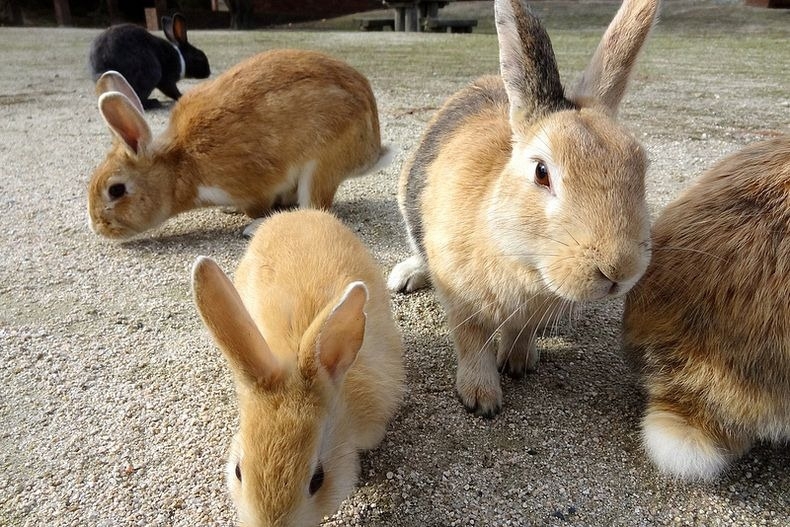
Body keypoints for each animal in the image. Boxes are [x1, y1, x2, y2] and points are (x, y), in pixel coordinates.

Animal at [88, 49, 386, 239]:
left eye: (116, 190)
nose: (97, 227)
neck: (177, 167)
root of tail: (372, 146)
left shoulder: (250, 187)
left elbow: (257, 204)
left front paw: (252, 220)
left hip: (319, 165)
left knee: (313, 206)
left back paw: (256, 228)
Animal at [386, 1, 660, 420]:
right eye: (541, 172)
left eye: (640, 165)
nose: (619, 270)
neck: (524, 263)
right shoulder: (463, 302)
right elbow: (472, 344)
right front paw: (481, 398)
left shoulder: (532, 312)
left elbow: (522, 333)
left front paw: (518, 363)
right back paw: (405, 277)